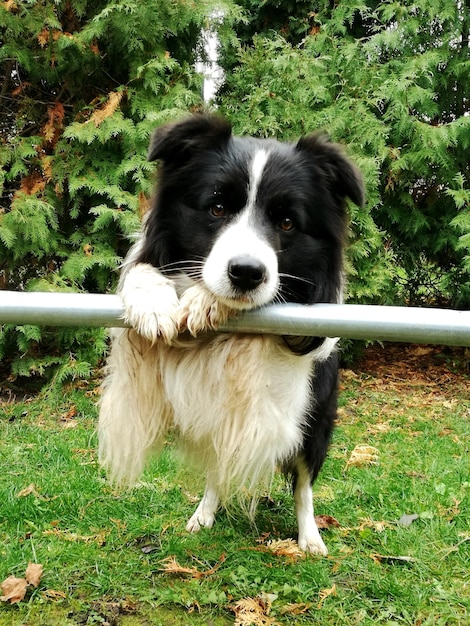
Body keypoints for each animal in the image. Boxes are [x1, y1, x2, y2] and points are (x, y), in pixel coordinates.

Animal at [98, 112, 364, 552]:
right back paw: (204, 513)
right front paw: (152, 302)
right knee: (217, 468)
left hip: (314, 420)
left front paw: (206, 302)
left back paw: (309, 538)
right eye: (217, 207)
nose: (246, 273)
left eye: (287, 222)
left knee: (303, 484)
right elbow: (141, 270)